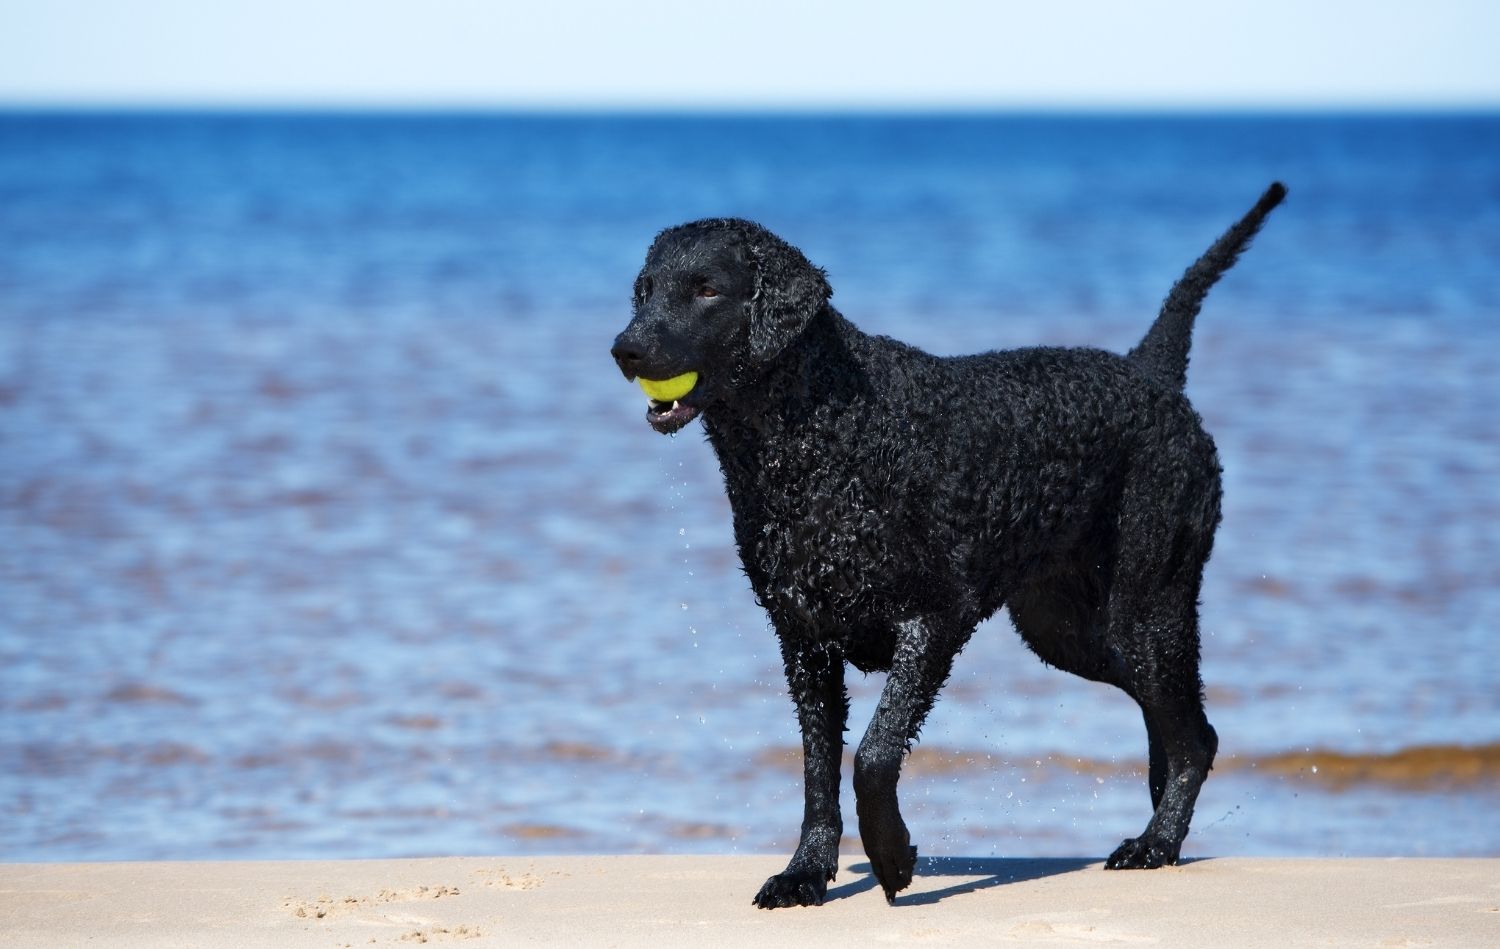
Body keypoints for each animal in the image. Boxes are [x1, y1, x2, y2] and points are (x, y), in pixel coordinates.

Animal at [609, 182, 1290, 905]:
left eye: (707, 288)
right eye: (644, 290)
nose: (624, 348)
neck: (818, 433)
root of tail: (1151, 372)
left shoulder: (935, 617)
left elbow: (874, 754)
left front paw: (892, 855)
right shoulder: (805, 641)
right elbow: (818, 773)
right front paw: (805, 873)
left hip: (1146, 603)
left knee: (1195, 736)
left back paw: (1156, 842)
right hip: (1065, 629)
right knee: (1174, 718)